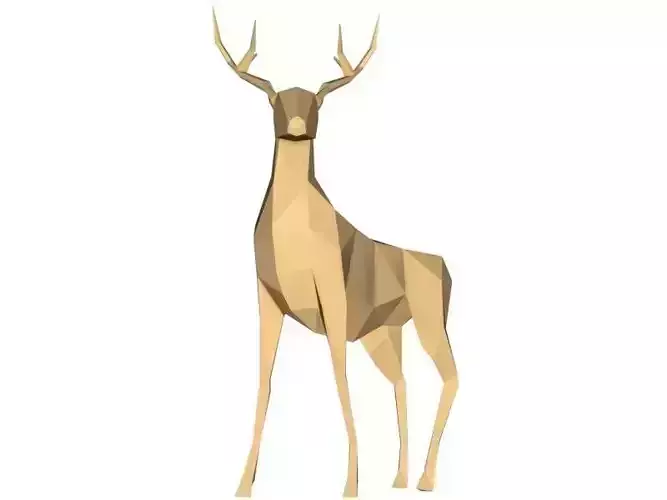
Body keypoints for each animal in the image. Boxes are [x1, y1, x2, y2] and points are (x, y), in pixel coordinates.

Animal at [212, 9, 458, 498]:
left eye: (317, 103)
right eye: (275, 102)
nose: (296, 125)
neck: (296, 242)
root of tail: (446, 267)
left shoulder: (334, 299)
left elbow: (340, 381)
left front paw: (349, 485)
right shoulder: (268, 297)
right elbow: (264, 382)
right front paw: (243, 484)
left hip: (429, 318)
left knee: (450, 376)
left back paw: (425, 479)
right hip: (384, 334)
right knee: (402, 382)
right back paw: (399, 477)